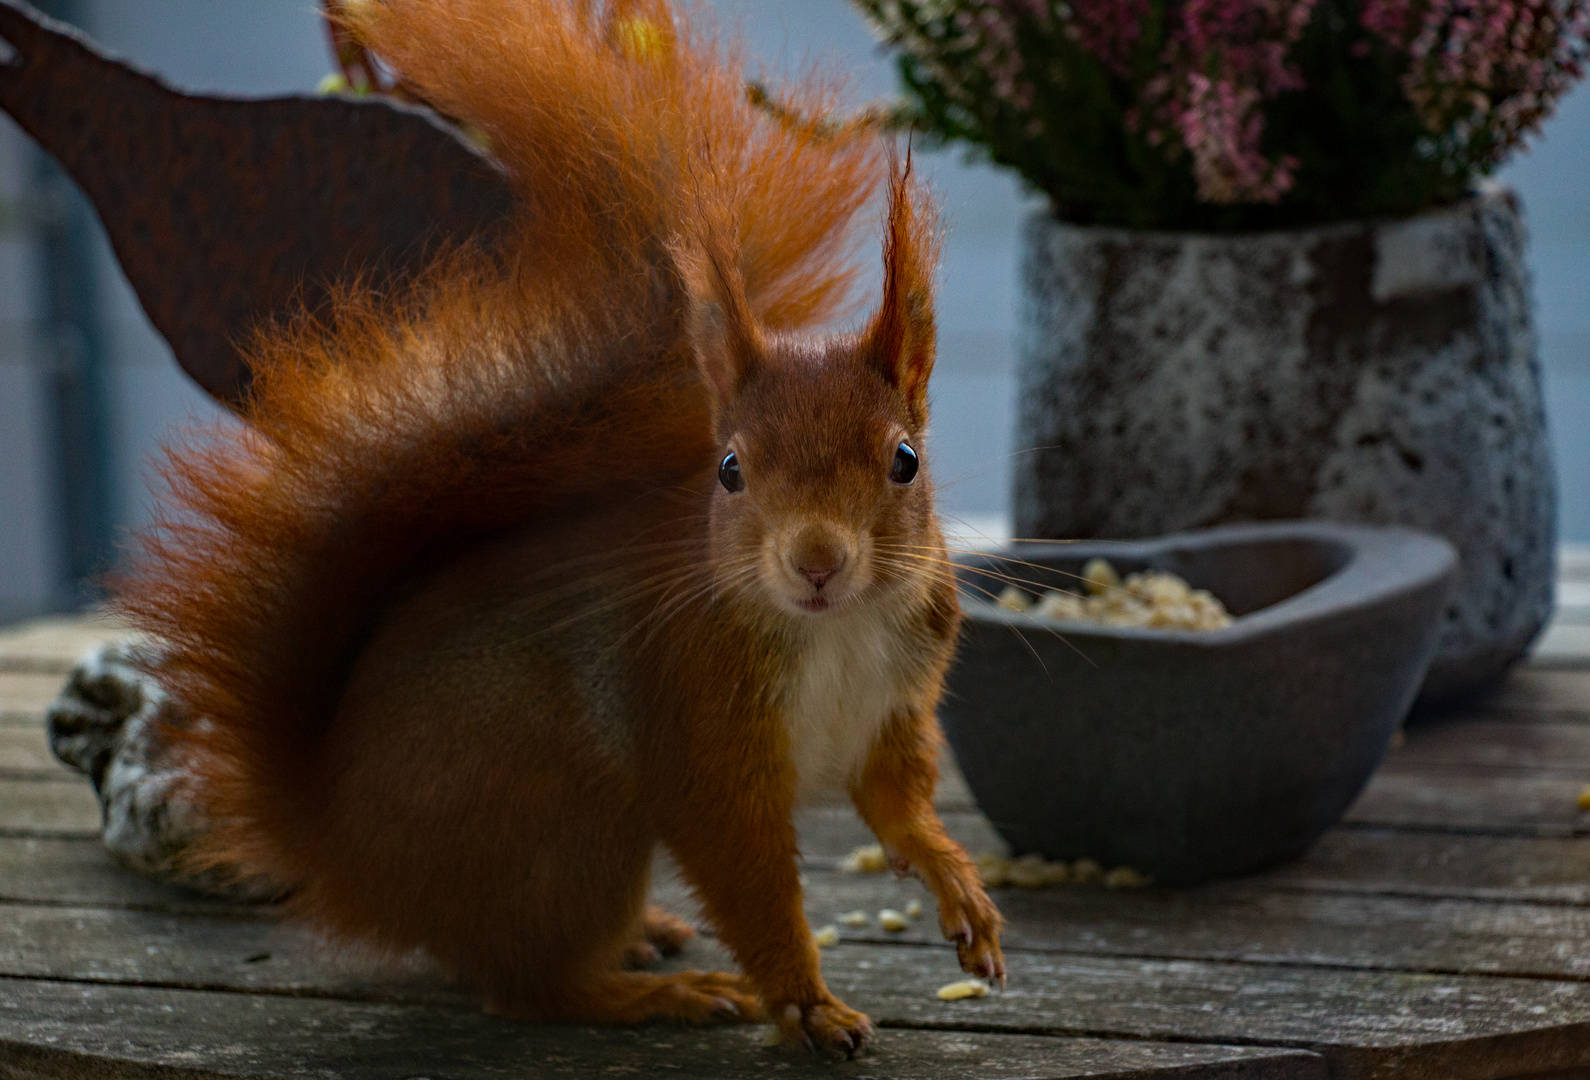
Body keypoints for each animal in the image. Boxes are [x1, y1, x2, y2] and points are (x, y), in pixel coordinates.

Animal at [115, 0, 1004, 1056]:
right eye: (729, 470)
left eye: (905, 459)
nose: (817, 561)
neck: (831, 630)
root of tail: (336, 842)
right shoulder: (697, 727)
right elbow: (749, 880)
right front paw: (806, 1003)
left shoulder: (892, 712)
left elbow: (899, 805)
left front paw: (960, 891)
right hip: (572, 829)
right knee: (524, 986)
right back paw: (651, 991)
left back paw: (646, 939)